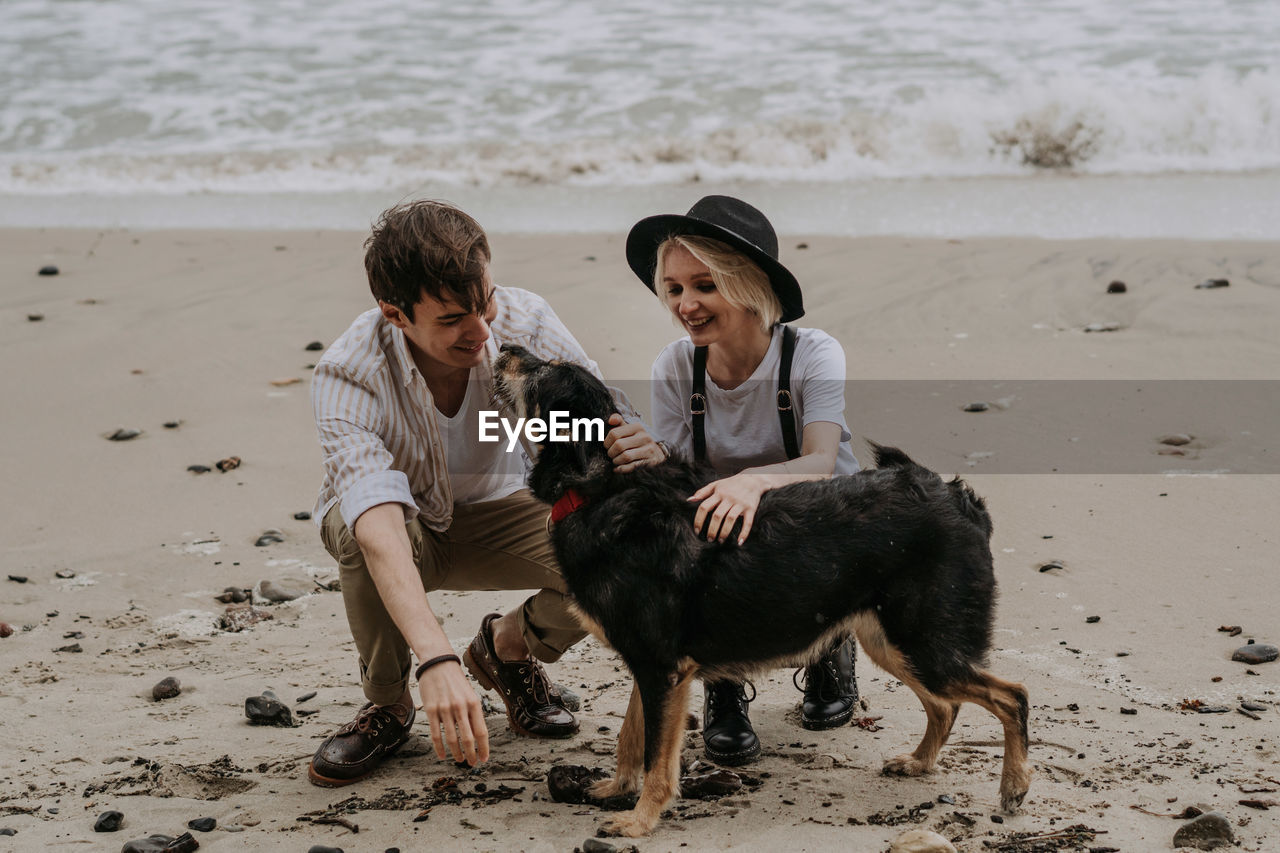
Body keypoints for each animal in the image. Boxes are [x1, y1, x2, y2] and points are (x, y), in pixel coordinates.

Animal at [491, 345, 1029, 835]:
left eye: (543, 373)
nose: (506, 348)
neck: (601, 488)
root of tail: (956, 497)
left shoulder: (661, 669)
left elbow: (655, 756)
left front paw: (641, 821)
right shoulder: (653, 668)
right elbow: (631, 735)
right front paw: (616, 790)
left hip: (922, 643)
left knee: (1012, 696)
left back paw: (1014, 786)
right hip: (894, 643)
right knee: (945, 704)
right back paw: (920, 762)